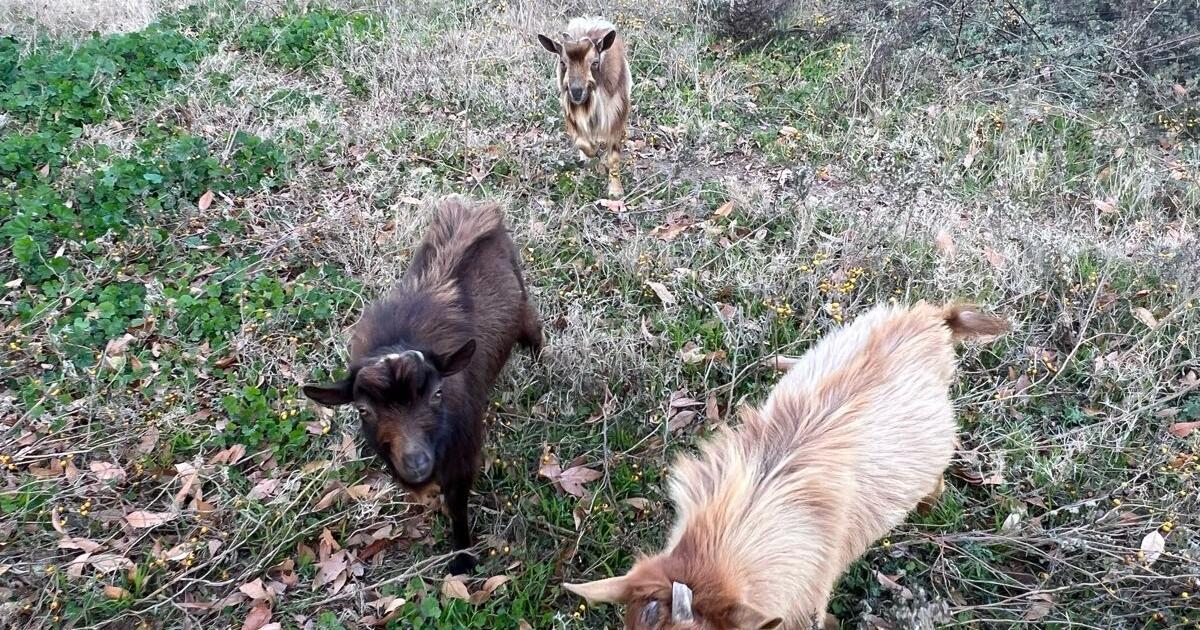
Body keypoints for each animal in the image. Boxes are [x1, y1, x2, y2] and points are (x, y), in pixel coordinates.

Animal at [303, 196, 543, 575]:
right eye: (363, 410)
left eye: (437, 394)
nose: (416, 462)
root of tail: (477, 210)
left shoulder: (462, 457)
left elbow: (457, 508)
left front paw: (462, 560)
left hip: (522, 306)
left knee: (535, 332)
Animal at [537, 17, 632, 198]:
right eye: (563, 62)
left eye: (595, 63)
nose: (576, 92)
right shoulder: (572, 113)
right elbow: (583, 143)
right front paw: (592, 158)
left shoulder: (616, 114)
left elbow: (613, 155)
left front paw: (615, 191)